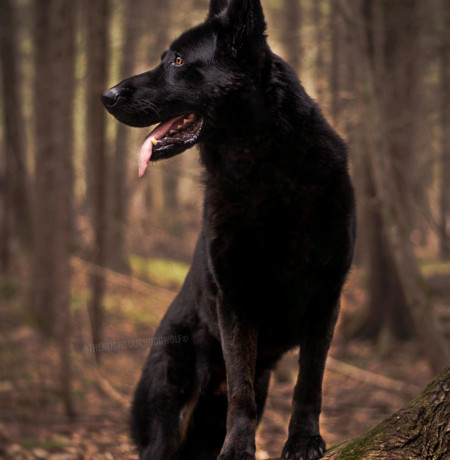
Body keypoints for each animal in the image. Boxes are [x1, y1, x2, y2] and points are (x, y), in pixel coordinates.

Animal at [101, 0, 356, 460]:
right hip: (169, 413)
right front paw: (238, 448)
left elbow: (310, 382)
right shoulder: (235, 300)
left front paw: (303, 440)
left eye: (178, 61)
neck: (263, 168)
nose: (105, 96)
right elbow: (241, 392)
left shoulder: (326, 297)